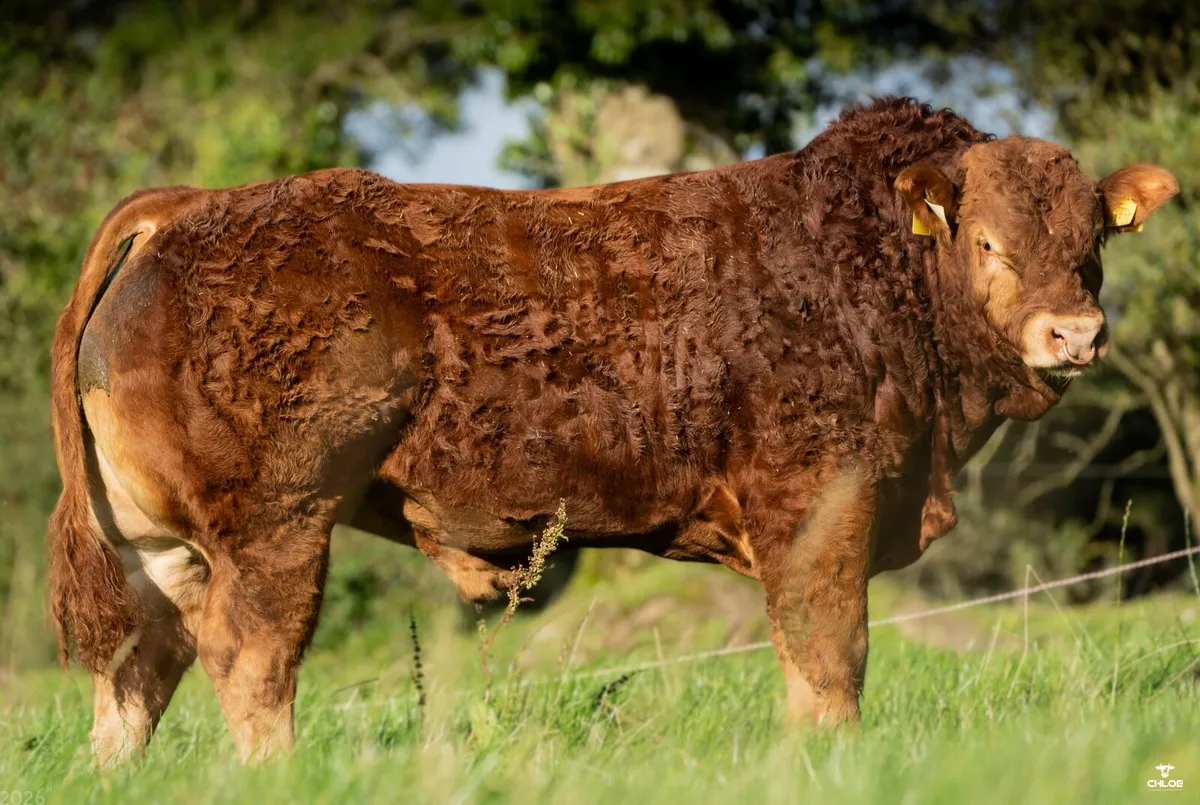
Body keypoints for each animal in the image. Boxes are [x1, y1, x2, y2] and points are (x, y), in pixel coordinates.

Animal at [48, 98, 1177, 764]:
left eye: (1094, 239)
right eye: (986, 240)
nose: (1076, 333)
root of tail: (191, 206)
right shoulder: (821, 501)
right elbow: (830, 658)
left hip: (159, 548)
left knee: (137, 671)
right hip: (278, 525)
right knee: (251, 661)